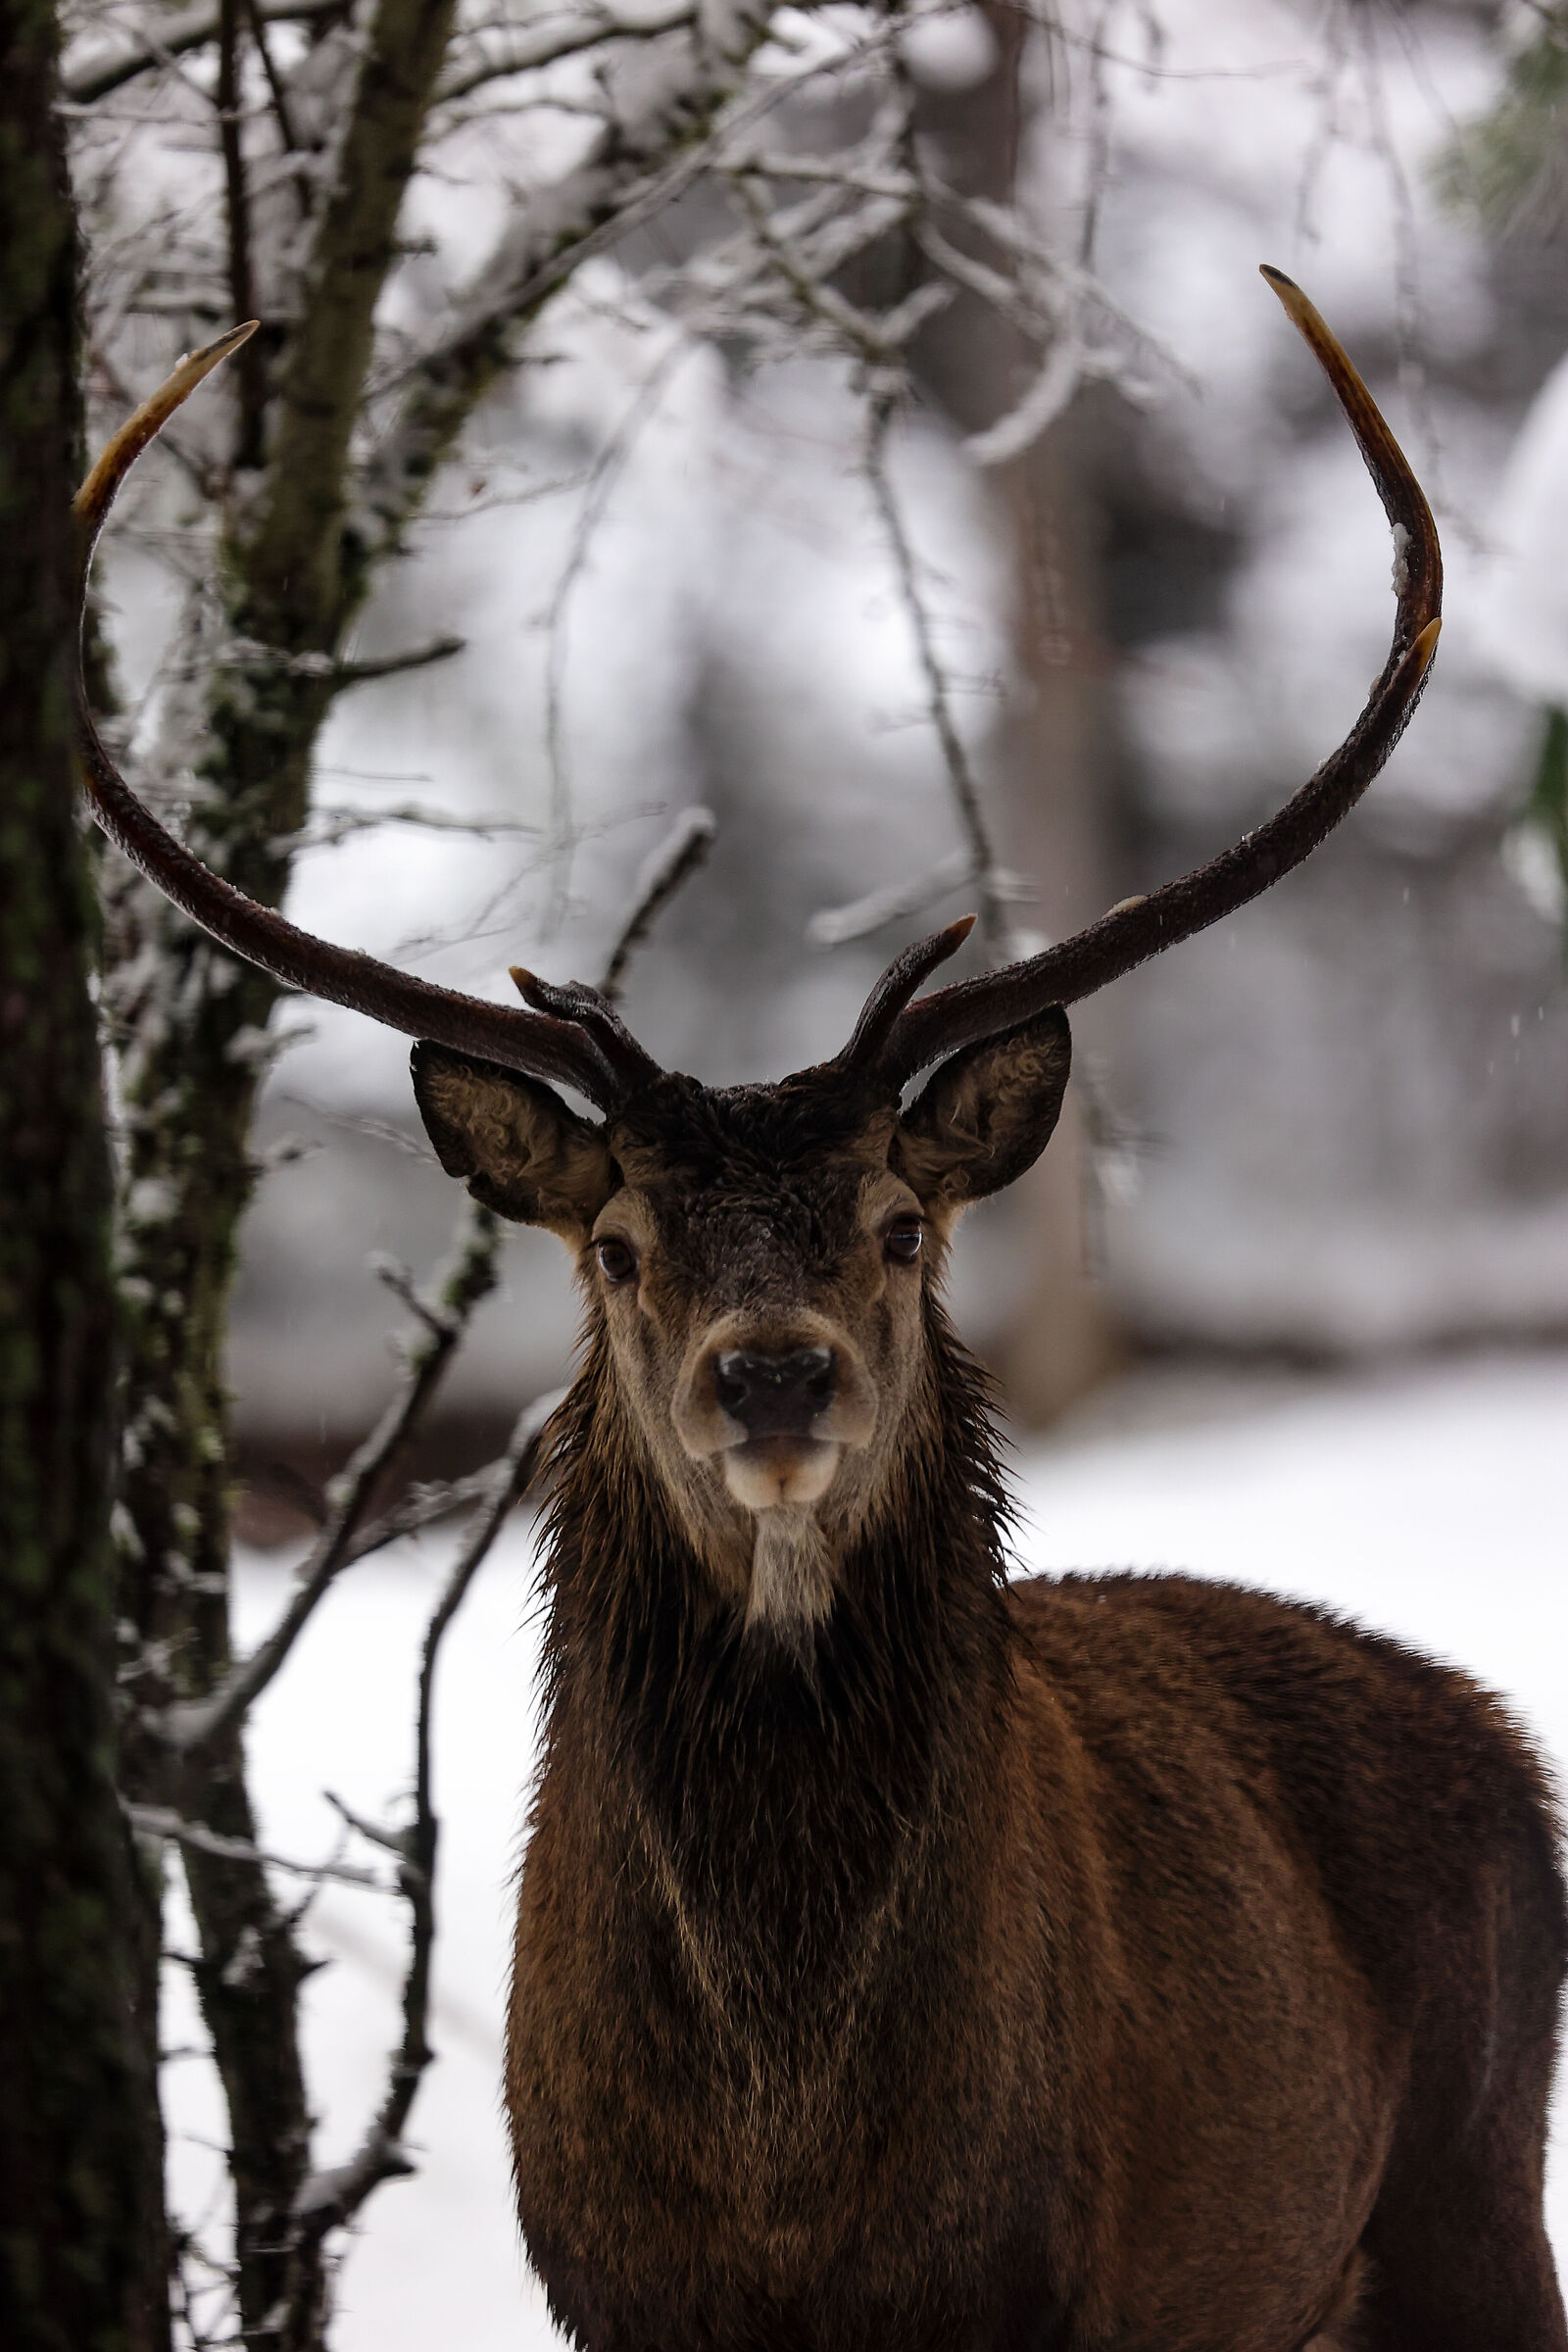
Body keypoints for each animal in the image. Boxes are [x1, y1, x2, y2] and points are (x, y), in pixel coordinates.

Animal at [74, 271, 1565, 2352]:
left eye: (899, 1226)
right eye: (619, 1243)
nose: (772, 1378)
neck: (783, 2188)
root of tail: (1512, 1751)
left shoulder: (1041, 2293)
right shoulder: (608, 2290)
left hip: (1475, 2202)